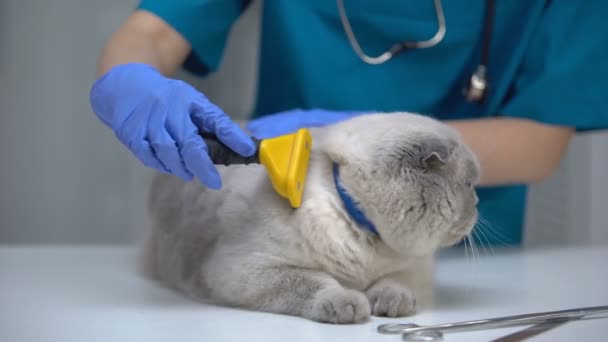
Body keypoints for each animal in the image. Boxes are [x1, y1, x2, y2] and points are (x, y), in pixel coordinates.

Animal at [142, 112, 480, 324]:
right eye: (468, 185)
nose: (477, 204)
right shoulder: (249, 269)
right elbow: (315, 282)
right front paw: (349, 304)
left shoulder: (413, 267)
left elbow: (393, 282)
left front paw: (389, 304)